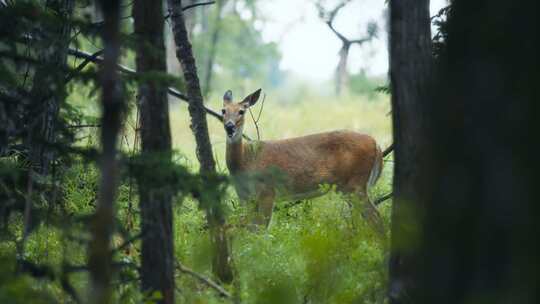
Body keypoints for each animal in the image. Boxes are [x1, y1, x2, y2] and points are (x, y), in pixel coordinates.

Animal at [221, 88, 386, 235]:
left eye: (241, 111)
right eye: (223, 110)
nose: (229, 126)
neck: (245, 160)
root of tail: (377, 145)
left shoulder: (267, 191)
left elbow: (260, 231)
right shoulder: (244, 197)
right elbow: (249, 229)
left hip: (356, 184)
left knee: (376, 218)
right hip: (348, 188)